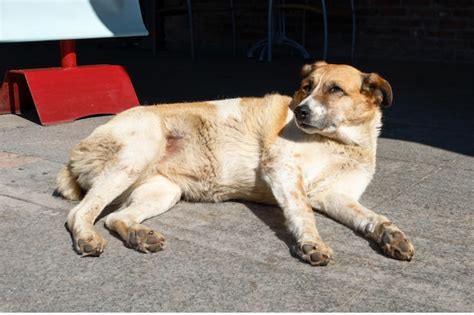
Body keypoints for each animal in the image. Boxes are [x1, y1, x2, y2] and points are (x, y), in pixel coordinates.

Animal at [57, 61, 414, 266]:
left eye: (335, 89)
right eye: (306, 88)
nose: (300, 112)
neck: (341, 143)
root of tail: (74, 155)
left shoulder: (336, 196)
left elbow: (371, 217)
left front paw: (390, 235)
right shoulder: (282, 169)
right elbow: (302, 212)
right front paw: (311, 242)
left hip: (162, 191)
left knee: (114, 217)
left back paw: (138, 236)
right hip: (138, 152)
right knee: (80, 213)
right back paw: (87, 238)